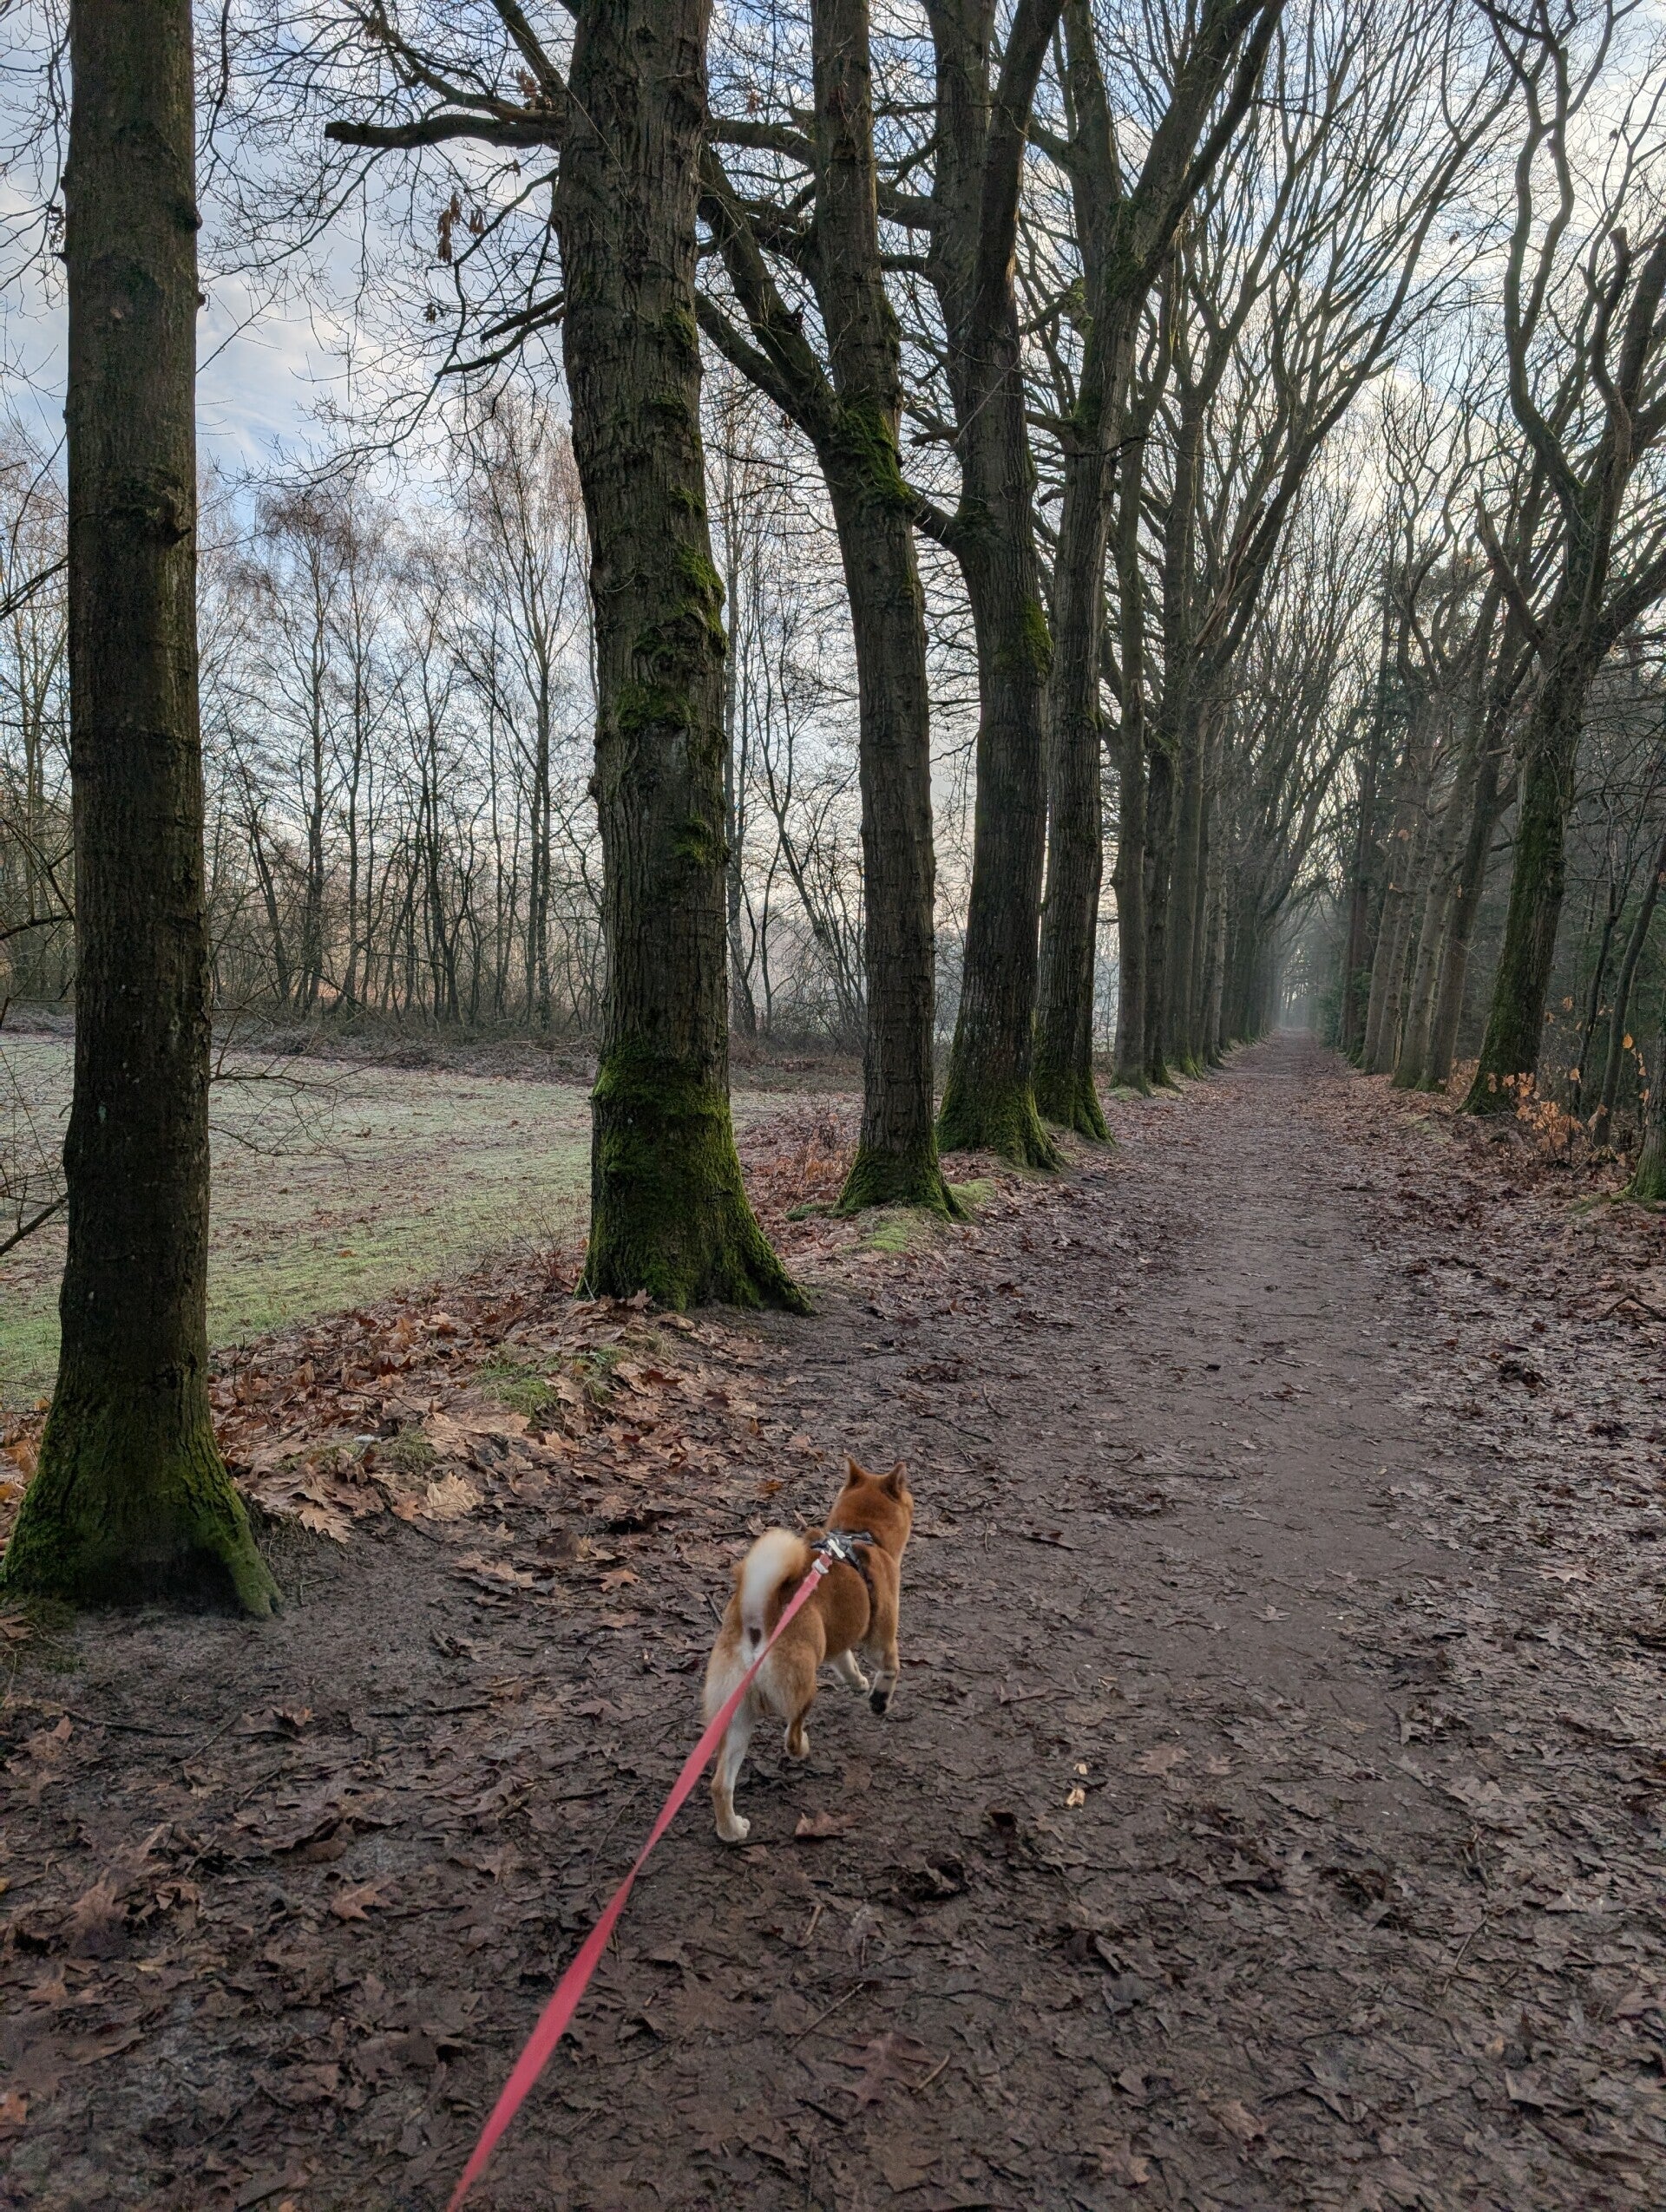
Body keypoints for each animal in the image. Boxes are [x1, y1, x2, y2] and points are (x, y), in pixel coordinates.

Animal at [701, 1458, 913, 1844]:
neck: (860, 1532)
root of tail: (758, 1623)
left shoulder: (838, 1644)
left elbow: (847, 1664)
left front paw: (859, 1683)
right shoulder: (880, 1637)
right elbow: (890, 1668)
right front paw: (878, 1698)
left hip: (737, 1717)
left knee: (720, 1784)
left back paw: (732, 1830)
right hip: (803, 1688)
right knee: (791, 1733)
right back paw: (802, 1748)